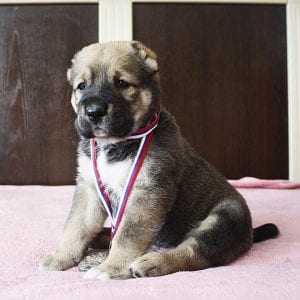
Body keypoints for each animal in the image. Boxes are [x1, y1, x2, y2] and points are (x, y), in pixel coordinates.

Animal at [39, 41, 278, 280]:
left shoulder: (148, 192)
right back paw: (100, 237)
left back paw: (151, 263)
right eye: (81, 86)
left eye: (122, 83)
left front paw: (111, 268)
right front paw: (60, 256)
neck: (117, 144)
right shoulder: (89, 188)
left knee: (194, 253)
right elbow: (76, 226)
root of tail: (250, 234)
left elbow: (128, 236)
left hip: (223, 218)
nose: (94, 112)